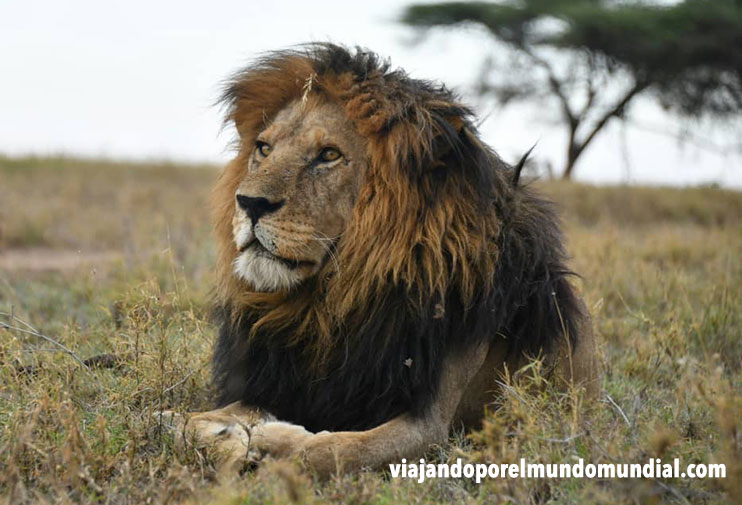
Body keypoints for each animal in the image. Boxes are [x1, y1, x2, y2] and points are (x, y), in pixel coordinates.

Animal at [160, 43, 598, 477]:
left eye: (328, 155)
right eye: (263, 149)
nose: (249, 203)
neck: (329, 304)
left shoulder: (433, 427)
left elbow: (334, 449)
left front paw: (268, 441)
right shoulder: (285, 386)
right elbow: (176, 422)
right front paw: (224, 435)